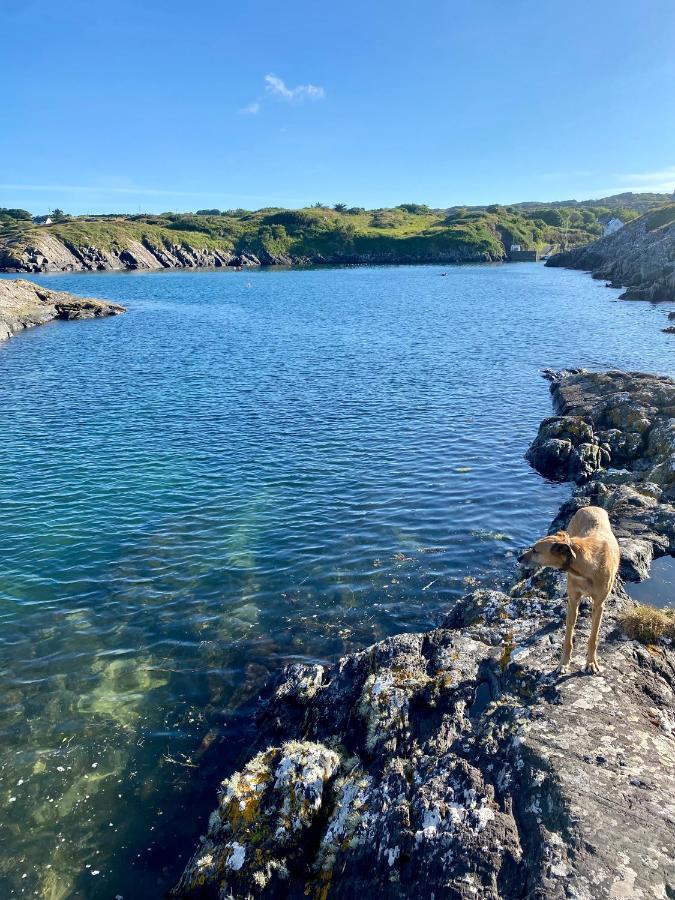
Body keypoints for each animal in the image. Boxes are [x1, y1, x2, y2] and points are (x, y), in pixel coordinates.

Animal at [520, 510, 620, 672]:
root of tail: (590, 507)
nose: (518, 558)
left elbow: (593, 637)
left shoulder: (599, 605)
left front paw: (591, 662)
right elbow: (568, 637)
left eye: (535, 550)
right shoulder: (573, 601)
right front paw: (564, 663)